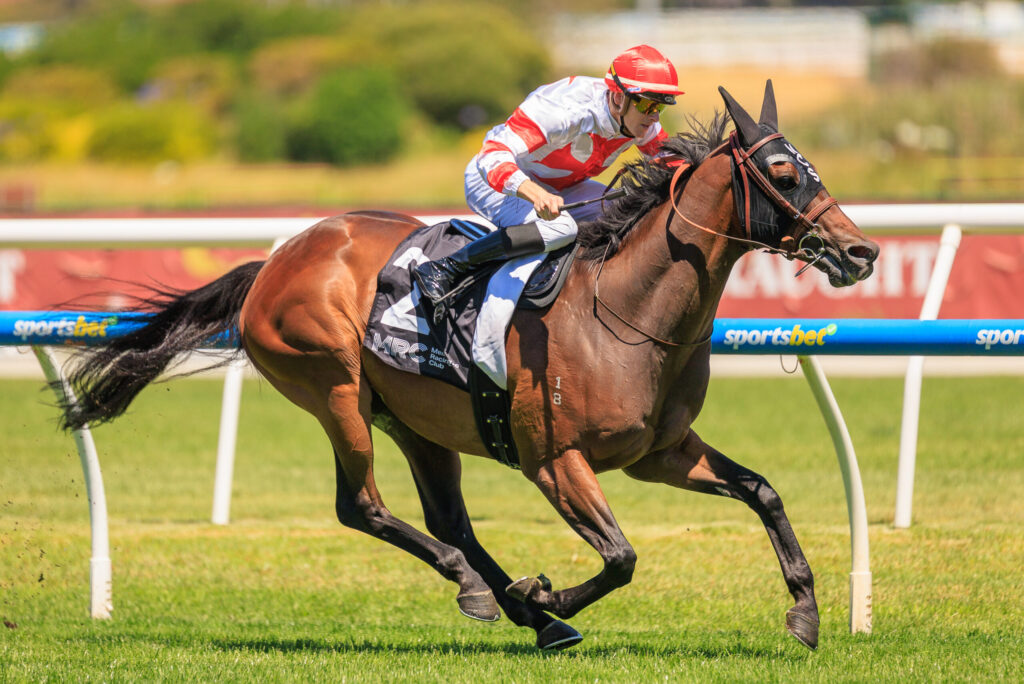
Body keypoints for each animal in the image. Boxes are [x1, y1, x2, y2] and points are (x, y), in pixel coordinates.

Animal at [57, 82, 878, 651]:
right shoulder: (554, 460)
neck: (625, 310)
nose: (861, 250)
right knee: (363, 507)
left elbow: (764, 492)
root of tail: (278, 260)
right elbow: (621, 556)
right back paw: (494, 593)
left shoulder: (660, 452)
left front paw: (805, 612)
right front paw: (550, 597)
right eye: (783, 172)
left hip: (417, 420)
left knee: (444, 515)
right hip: (336, 390)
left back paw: (511, 602)